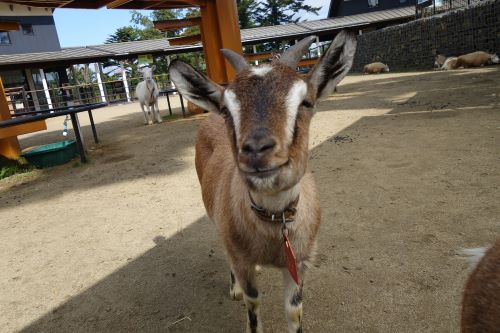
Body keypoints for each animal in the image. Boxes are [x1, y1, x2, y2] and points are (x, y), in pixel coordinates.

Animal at [170, 29, 358, 330]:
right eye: (227, 109)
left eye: (306, 102)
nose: (257, 150)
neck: (273, 225)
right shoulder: (241, 258)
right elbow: (253, 304)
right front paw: (241, 295)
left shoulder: (300, 263)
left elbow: (294, 310)